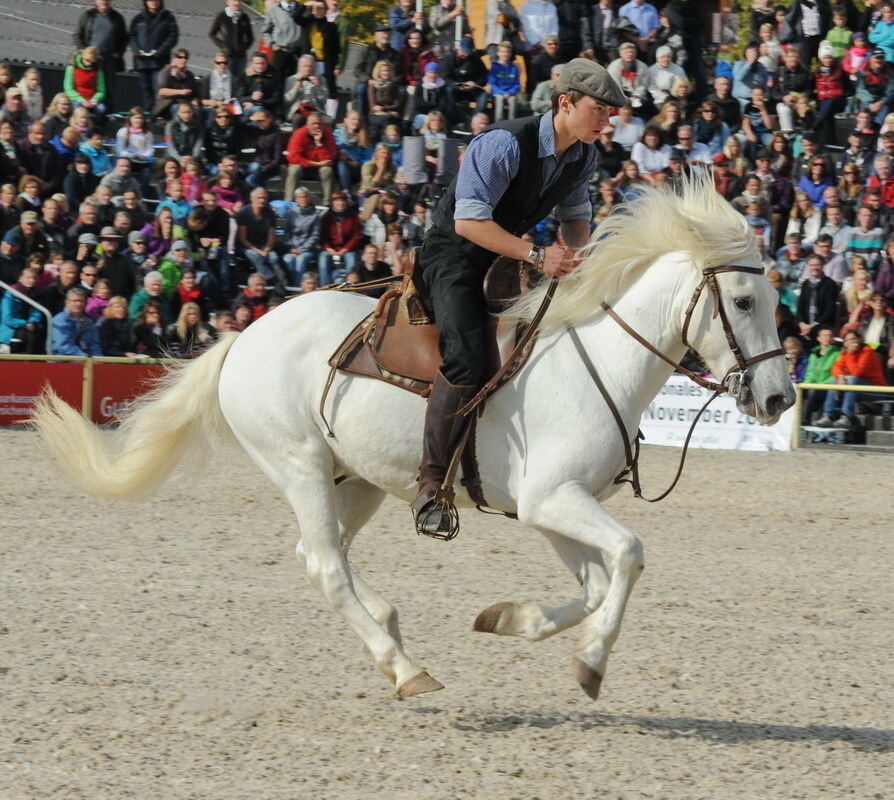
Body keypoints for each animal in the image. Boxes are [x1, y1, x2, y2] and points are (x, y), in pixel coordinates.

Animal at [31, 180, 796, 700]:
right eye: (744, 301)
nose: (779, 399)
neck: (599, 359)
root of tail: (245, 336)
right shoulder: (555, 500)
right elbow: (629, 557)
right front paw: (591, 661)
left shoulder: (553, 507)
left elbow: (597, 582)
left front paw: (510, 621)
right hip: (298, 463)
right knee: (327, 565)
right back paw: (404, 667)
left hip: (356, 480)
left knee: (320, 557)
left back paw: (390, 628)